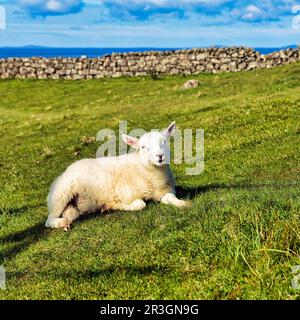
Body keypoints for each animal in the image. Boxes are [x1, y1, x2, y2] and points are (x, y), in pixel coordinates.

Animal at [45, 122, 190, 230]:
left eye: (164, 142)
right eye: (143, 147)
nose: (160, 156)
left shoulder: (165, 191)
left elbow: (172, 199)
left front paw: (184, 204)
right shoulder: (125, 193)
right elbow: (140, 205)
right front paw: (111, 206)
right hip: (62, 194)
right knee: (48, 220)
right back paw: (61, 223)